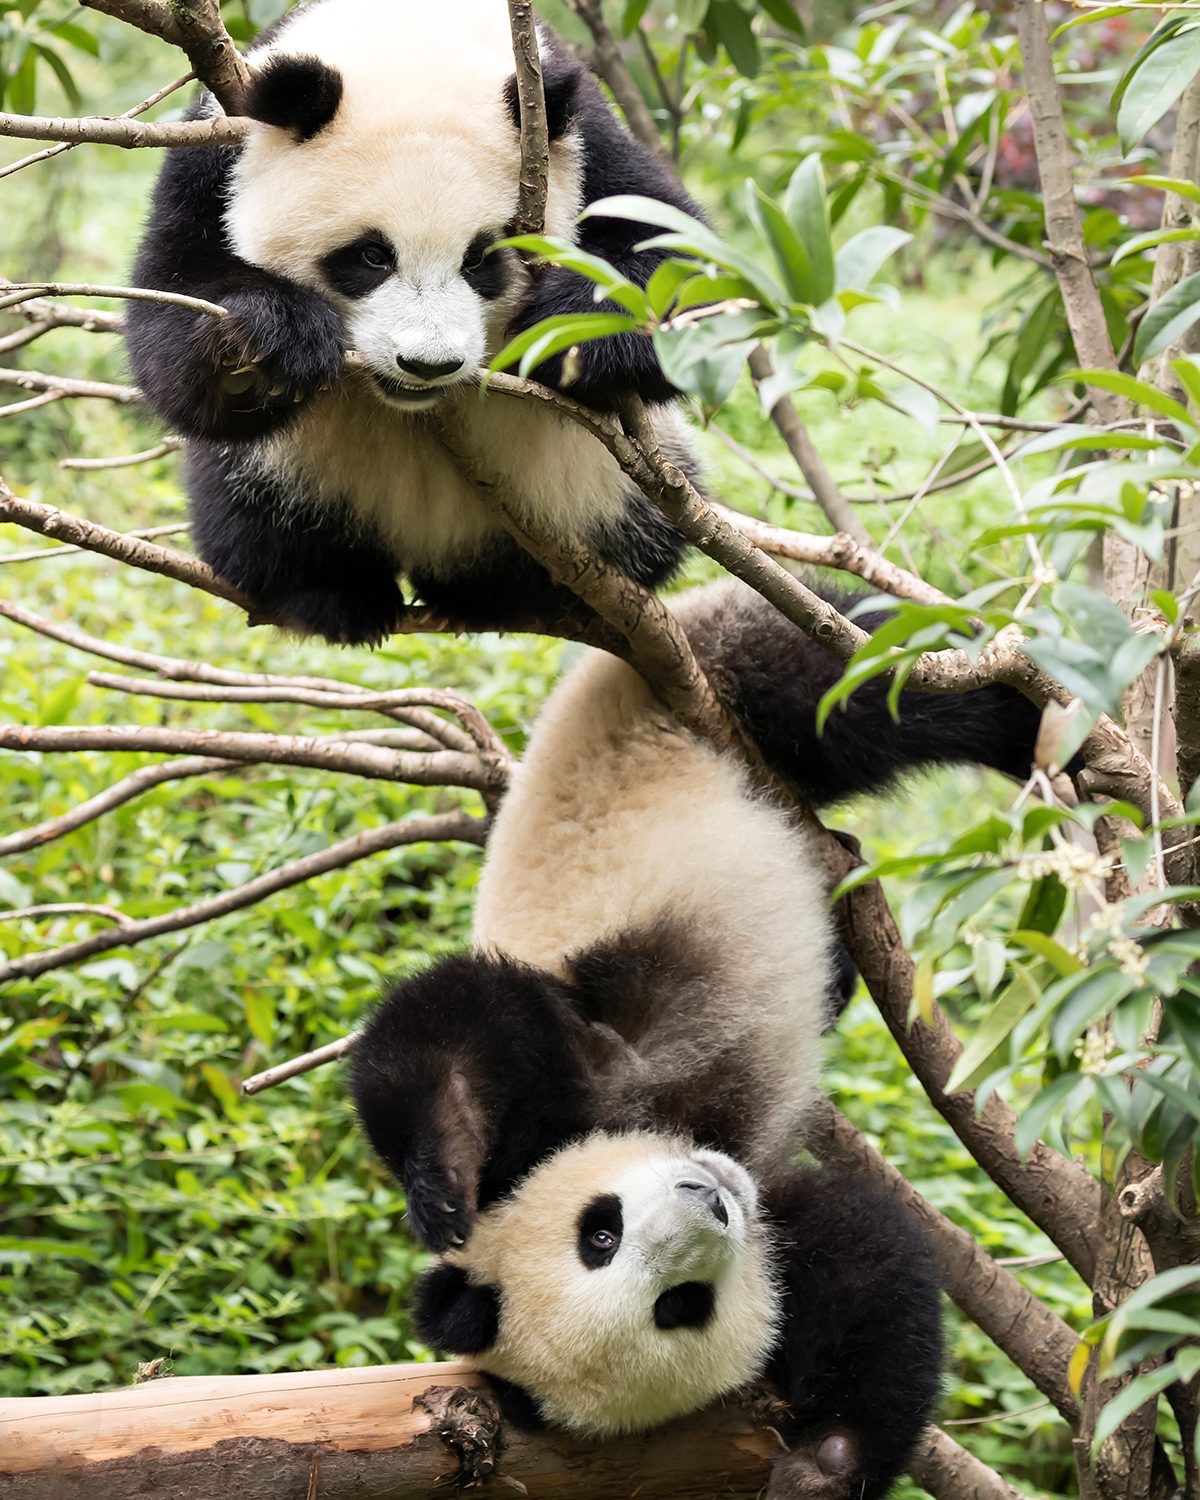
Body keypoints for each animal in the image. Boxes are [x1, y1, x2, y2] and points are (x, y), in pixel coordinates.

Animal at [126, 0, 700, 646]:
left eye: (480, 259)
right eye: (372, 256)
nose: (427, 365)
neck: (413, 36)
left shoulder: (586, 145)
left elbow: (680, 261)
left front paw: (564, 330)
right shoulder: (218, 151)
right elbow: (172, 310)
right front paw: (274, 339)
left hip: (599, 492)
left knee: (641, 526)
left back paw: (508, 590)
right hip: (289, 475)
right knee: (250, 514)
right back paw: (333, 591)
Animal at [350, 578, 1051, 1498]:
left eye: (598, 1231)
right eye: (676, 1306)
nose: (708, 1199)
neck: (697, 1134)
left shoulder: (580, 1064)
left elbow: (459, 1023)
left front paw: (440, 1179)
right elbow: (867, 1271)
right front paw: (824, 1466)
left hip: (722, 670)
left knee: (875, 686)